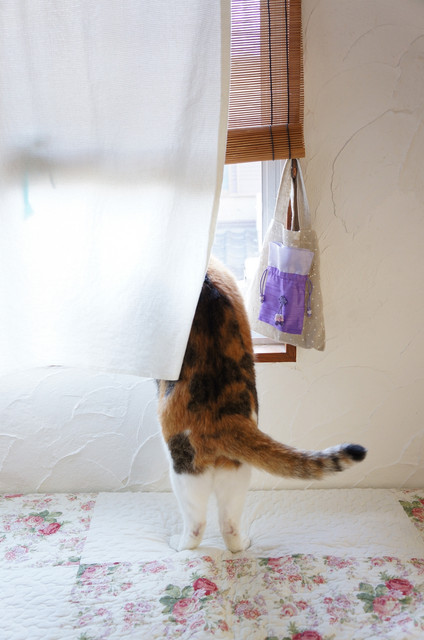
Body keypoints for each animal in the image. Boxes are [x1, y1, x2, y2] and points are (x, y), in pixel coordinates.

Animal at [157, 256, 366, 553]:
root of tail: (223, 418)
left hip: (184, 472)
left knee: (198, 522)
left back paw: (181, 545)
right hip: (238, 471)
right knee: (229, 523)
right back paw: (240, 545)